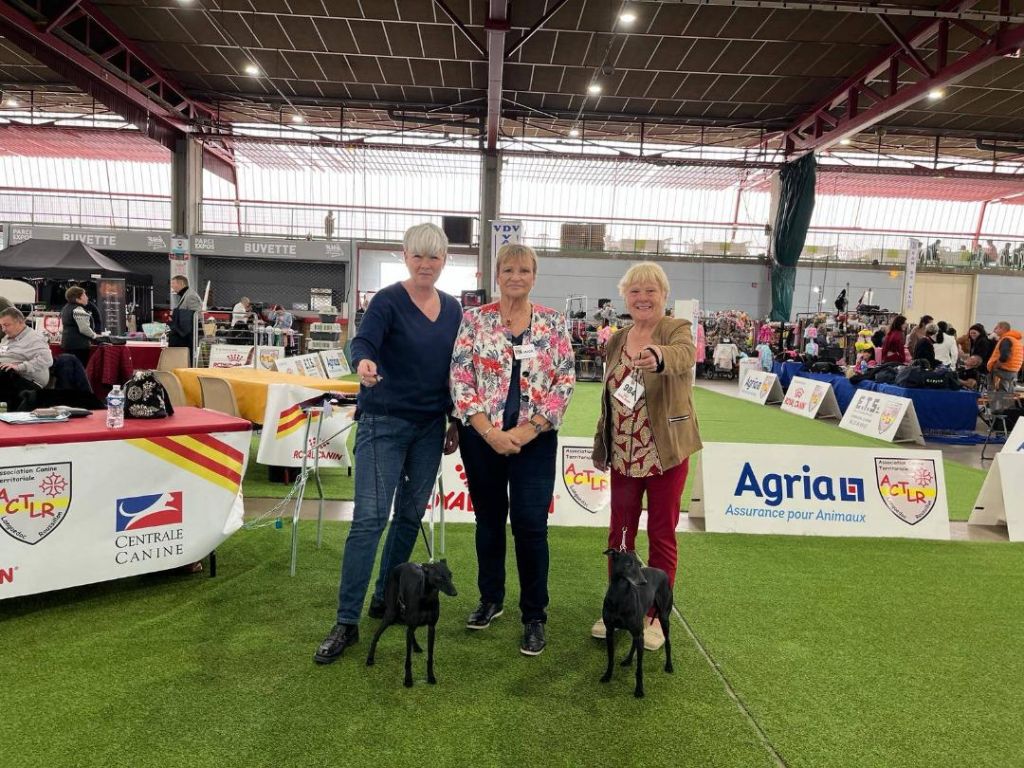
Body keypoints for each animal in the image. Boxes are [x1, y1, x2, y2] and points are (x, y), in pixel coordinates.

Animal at [362, 561, 454, 692]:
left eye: (450, 575)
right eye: (439, 577)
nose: (454, 593)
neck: (427, 598)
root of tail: (399, 566)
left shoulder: (432, 628)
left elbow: (430, 656)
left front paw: (431, 676)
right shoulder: (412, 625)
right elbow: (408, 659)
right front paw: (408, 680)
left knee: (409, 631)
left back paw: (415, 646)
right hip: (391, 613)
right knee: (376, 635)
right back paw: (370, 658)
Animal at [598, 548, 671, 700]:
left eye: (639, 564)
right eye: (628, 564)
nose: (643, 582)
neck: (620, 596)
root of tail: (662, 572)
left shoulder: (638, 633)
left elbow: (639, 668)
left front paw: (639, 690)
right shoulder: (610, 632)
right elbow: (610, 658)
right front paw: (607, 675)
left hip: (663, 618)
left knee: (668, 642)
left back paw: (669, 666)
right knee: (635, 642)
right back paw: (628, 660)